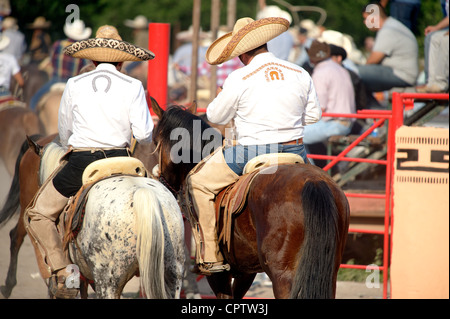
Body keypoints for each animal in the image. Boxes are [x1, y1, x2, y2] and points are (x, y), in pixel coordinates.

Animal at [151, 103, 352, 300]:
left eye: (154, 140)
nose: (159, 178)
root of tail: (314, 182)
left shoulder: (219, 276)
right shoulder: (246, 270)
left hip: (283, 275)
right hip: (326, 272)